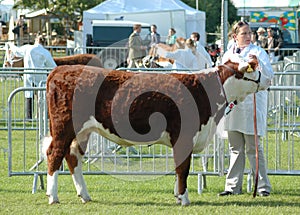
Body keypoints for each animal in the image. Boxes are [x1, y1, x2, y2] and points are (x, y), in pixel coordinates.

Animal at [43, 53, 270, 205]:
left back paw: (85, 195)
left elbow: (179, 168)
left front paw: (178, 195)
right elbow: (183, 168)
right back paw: (53, 197)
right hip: (64, 126)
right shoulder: (184, 136)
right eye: (253, 68)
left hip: (82, 131)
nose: (268, 79)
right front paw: (184, 199)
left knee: (73, 156)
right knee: (54, 153)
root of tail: (60, 70)